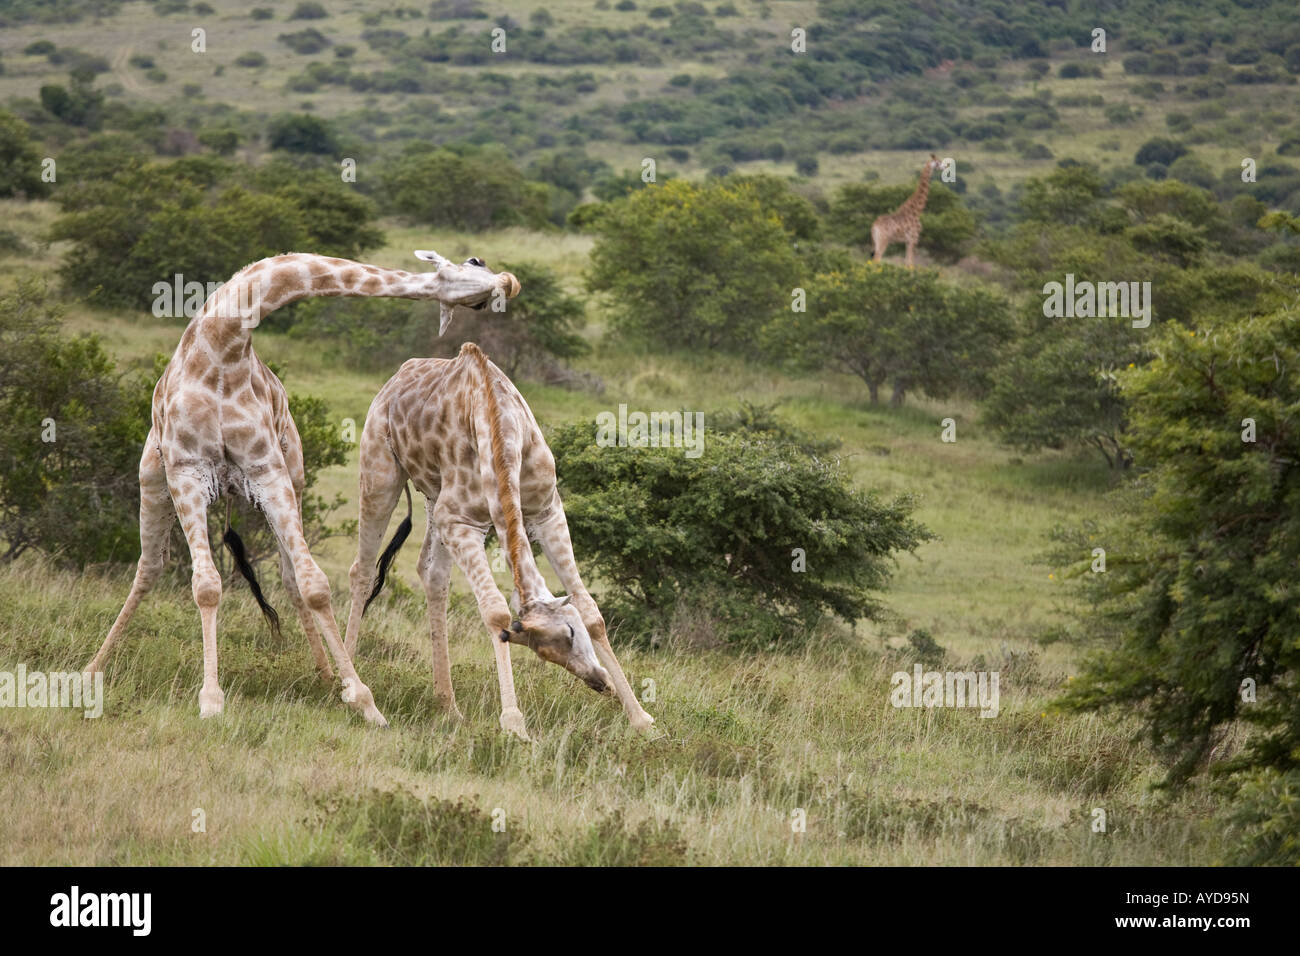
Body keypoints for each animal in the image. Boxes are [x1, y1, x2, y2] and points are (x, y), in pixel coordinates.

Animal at [82, 251, 522, 723]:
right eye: (475, 269)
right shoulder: (187, 470)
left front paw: (363, 700)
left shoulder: (268, 470)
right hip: (154, 481)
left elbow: (314, 585)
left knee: (290, 578)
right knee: (150, 566)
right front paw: (211, 699)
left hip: (287, 478)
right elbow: (206, 585)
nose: (508, 283)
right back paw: (93, 668)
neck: (222, 347)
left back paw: (326, 674)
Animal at [343, 343, 655, 738]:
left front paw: (641, 717)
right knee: (363, 570)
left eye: (572, 632)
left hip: (433, 500)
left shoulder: (547, 510)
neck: (500, 428)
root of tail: (396, 377)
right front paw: (514, 724)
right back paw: (350, 686)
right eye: (548, 650)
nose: (599, 683)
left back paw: (449, 707)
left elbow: (590, 607)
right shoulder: (461, 523)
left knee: (432, 574)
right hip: (379, 472)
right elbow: (495, 611)